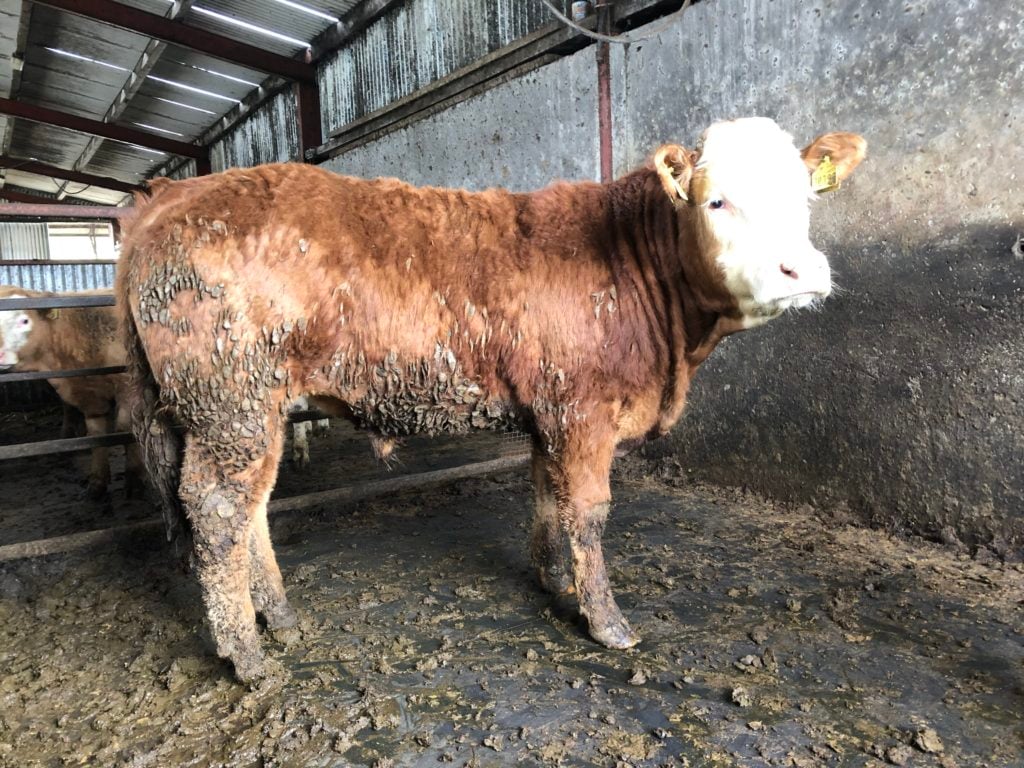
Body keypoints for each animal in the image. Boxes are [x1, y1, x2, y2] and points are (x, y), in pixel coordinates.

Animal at [0, 286, 144, 499]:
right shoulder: (88, 395)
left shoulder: (128, 388)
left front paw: (135, 479)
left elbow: (125, 430)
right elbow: (96, 435)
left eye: (24, 321)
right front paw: (97, 482)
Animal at [117, 117, 865, 683]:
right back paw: (247, 655)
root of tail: (171, 194)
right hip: (229, 402)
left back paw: (280, 618)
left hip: (247, 412)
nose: (800, 270)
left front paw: (553, 580)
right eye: (717, 201)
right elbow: (589, 513)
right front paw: (605, 620)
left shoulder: (550, 416)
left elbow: (548, 499)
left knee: (252, 510)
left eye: (806, 200)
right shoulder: (584, 413)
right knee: (218, 512)